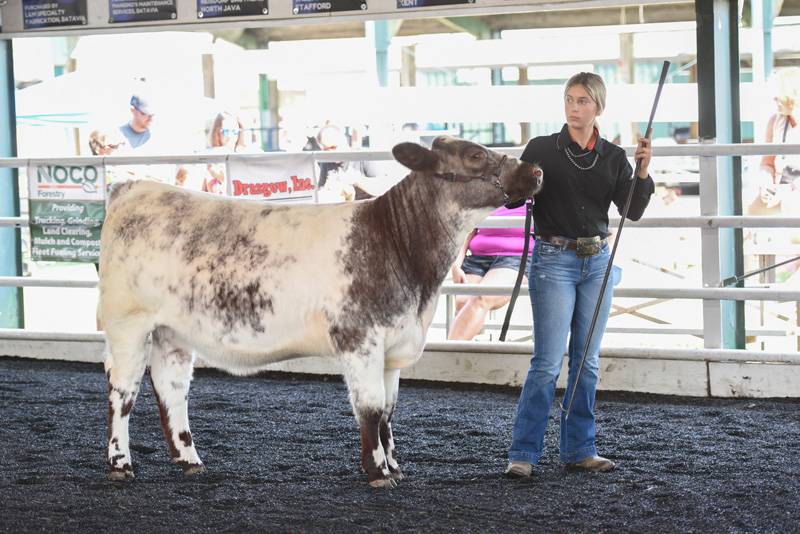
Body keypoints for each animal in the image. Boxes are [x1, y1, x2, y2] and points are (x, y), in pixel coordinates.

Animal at [97, 137, 540, 490]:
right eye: (475, 154)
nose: (535, 170)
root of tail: (131, 187)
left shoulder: (394, 346)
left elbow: (389, 411)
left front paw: (394, 465)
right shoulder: (360, 339)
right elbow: (370, 408)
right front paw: (378, 473)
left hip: (171, 331)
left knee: (171, 389)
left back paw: (190, 461)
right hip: (127, 325)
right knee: (122, 393)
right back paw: (120, 464)